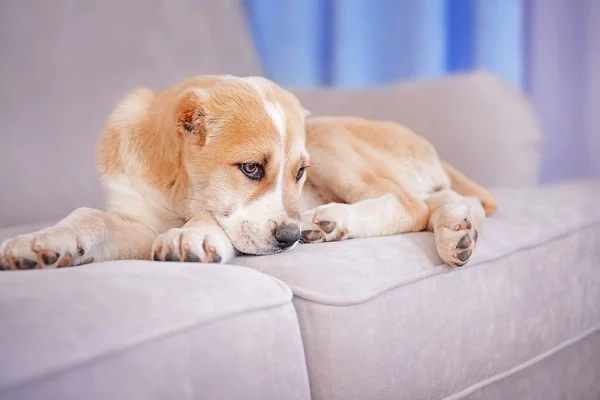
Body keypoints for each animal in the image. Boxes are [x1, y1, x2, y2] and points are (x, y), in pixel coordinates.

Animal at [0, 74, 496, 272]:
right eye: (252, 168)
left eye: (300, 173)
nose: (290, 237)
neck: (176, 187)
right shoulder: (136, 221)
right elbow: (90, 217)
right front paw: (39, 244)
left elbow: (209, 217)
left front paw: (190, 235)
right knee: (443, 200)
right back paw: (457, 230)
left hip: (328, 138)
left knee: (411, 204)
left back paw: (330, 220)